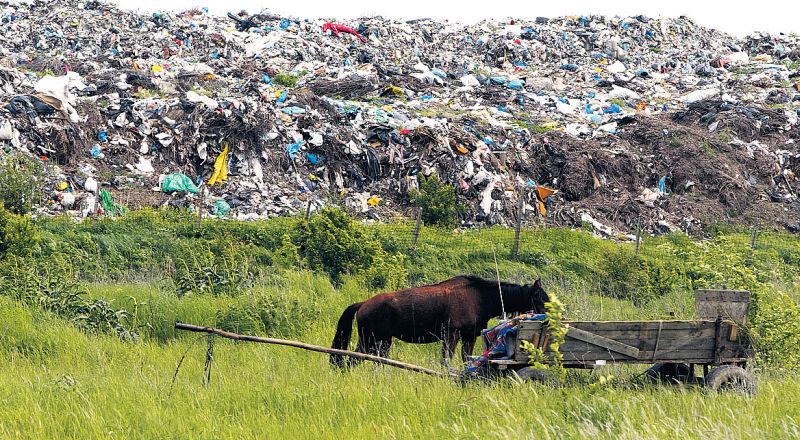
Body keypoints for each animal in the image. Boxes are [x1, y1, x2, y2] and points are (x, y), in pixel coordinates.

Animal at [328, 276, 548, 368]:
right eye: (539, 299)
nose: (549, 318)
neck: (480, 299)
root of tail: (362, 304)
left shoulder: (469, 337)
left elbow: (466, 359)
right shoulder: (451, 335)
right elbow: (446, 360)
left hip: (376, 341)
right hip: (374, 340)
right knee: (352, 360)